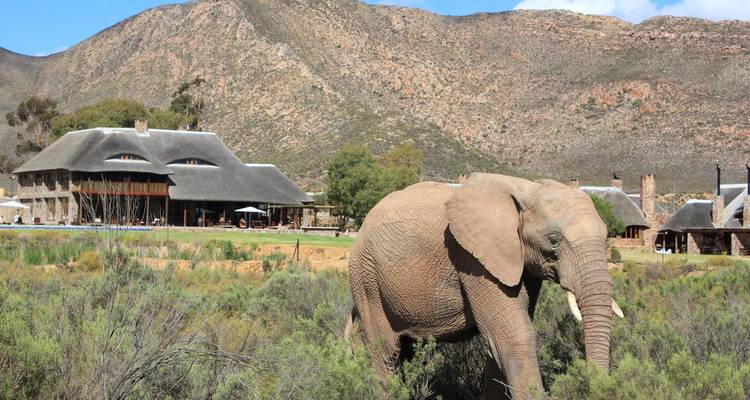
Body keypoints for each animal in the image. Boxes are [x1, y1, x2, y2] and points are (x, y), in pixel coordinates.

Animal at [345, 173, 624, 399]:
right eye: (554, 241)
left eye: (606, 236)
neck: (526, 188)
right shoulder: (473, 259)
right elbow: (513, 334)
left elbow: (500, 340)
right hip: (366, 276)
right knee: (385, 350)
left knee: (406, 349)